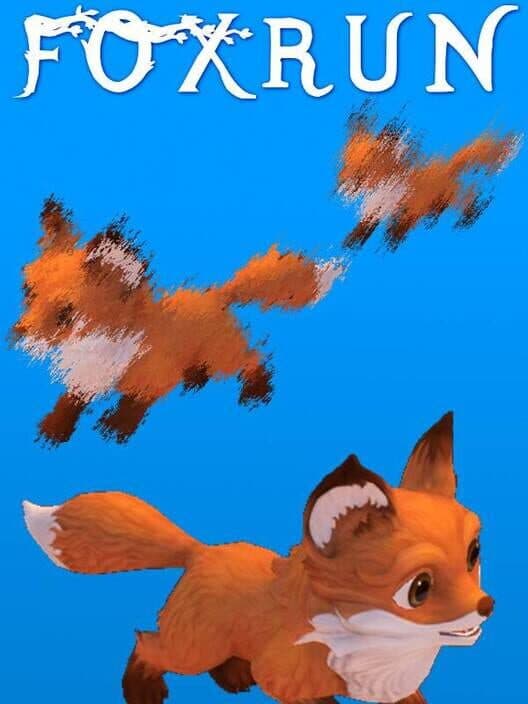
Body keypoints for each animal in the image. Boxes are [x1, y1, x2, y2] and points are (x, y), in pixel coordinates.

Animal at [11, 197, 343, 445]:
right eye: (28, 292)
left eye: (64, 314)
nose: (16, 334)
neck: (99, 353)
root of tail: (216, 294)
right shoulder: (84, 378)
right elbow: (70, 402)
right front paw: (54, 429)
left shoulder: (155, 375)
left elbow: (136, 403)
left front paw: (117, 426)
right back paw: (195, 378)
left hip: (224, 357)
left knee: (253, 358)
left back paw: (256, 390)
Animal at [23, 412, 493, 704]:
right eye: (419, 589)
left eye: (473, 555)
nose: (486, 605)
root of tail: (201, 551)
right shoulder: (284, 677)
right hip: (193, 650)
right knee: (148, 645)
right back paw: (143, 691)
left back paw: (233, 679)